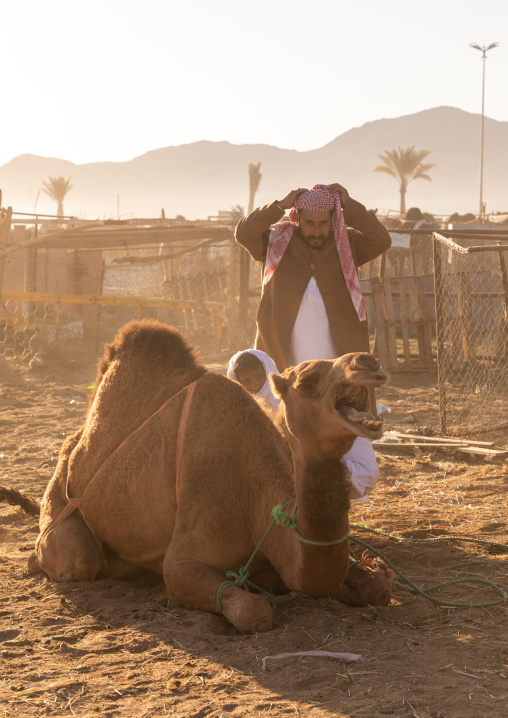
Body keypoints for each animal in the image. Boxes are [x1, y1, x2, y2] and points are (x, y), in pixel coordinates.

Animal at [27, 320, 391, 634]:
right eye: (307, 381)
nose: (367, 360)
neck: (255, 499)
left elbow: (377, 587)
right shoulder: (182, 559)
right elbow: (253, 611)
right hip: (60, 498)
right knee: (78, 563)